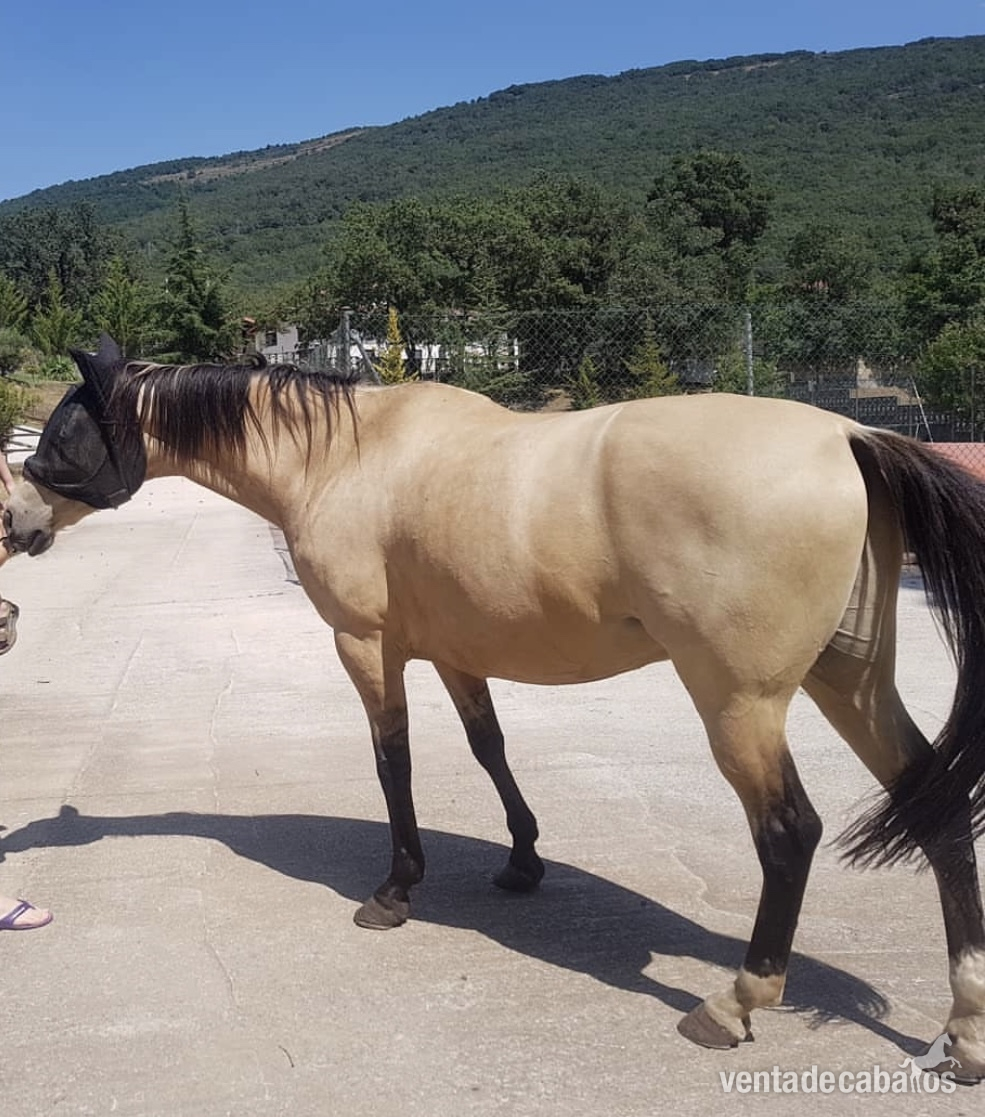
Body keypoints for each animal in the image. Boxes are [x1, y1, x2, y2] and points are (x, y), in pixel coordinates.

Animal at [3, 333, 985, 1074]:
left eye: (60, 434)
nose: (16, 524)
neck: (344, 456)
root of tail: (847, 436)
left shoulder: (365, 645)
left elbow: (392, 759)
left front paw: (395, 889)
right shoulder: (453, 654)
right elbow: (489, 747)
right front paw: (521, 860)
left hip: (741, 703)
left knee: (788, 833)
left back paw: (735, 1001)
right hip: (848, 682)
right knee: (935, 812)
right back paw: (963, 1030)